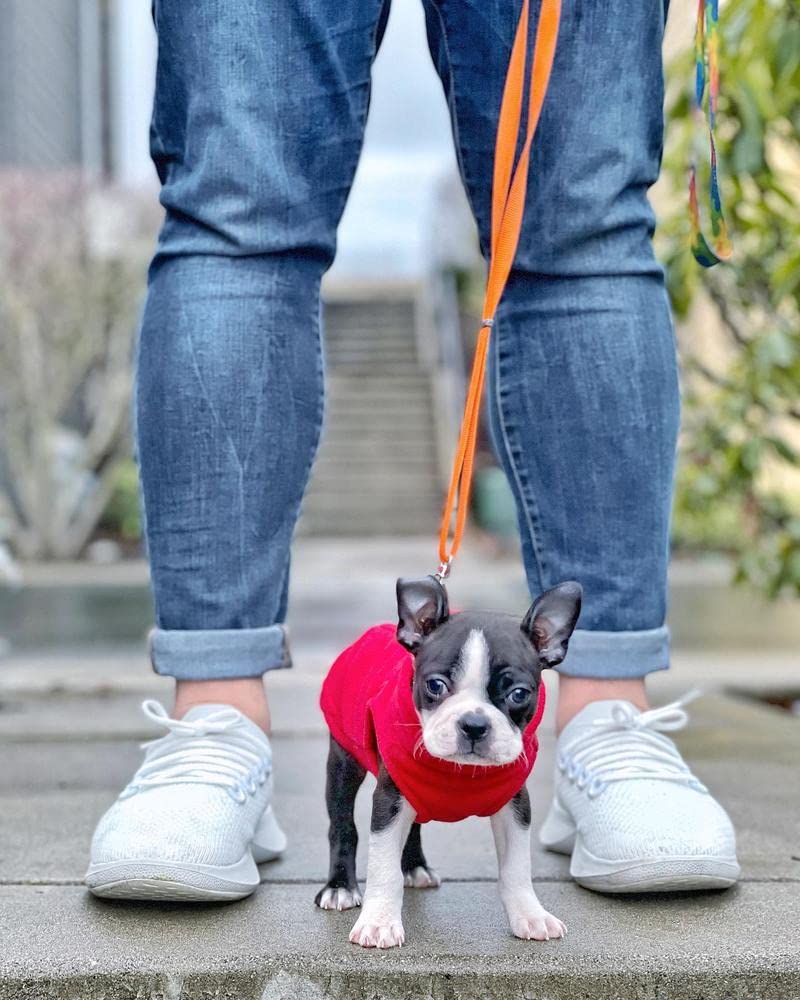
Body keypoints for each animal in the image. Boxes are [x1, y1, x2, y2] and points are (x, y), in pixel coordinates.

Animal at [314, 576, 580, 948]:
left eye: (519, 694)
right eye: (435, 685)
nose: (474, 724)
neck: (461, 771)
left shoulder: (516, 803)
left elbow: (517, 867)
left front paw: (531, 916)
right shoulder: (389, 797)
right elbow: (383, 866)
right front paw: (379, 922)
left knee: (413, 823)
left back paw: (414, 866)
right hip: (343, 762)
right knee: (342, 825)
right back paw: (339, 887)